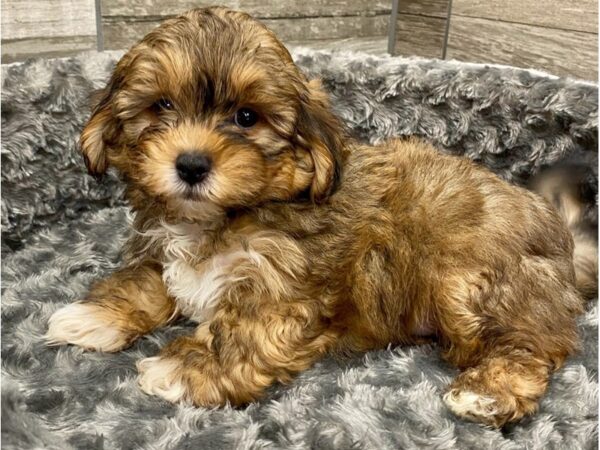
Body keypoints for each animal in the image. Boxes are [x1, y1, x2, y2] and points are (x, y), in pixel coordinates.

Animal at [45, 7, 596, 428]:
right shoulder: (162, 251)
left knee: (532, 344)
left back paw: (489, 391)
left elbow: (238, 331)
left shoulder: (281, 291)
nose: (192, 164)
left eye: (247, 117)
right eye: (161, 105)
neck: (217, 218)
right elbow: (145, 280)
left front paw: (184, 367)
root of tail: (564, 243)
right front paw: (97, 314)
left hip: (473, 283)